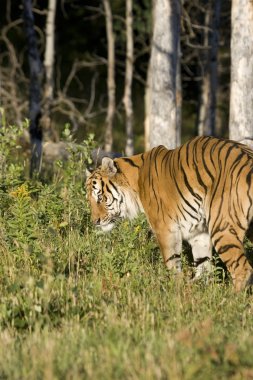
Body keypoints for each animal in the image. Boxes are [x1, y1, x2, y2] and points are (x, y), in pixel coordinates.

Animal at [85, 137, 253, 290]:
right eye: (89, 200)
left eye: (100, 197)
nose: (95, 221)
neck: (135, 184)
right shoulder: (199, 232)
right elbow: (203, 265)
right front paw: (197, 291)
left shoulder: (165, 229)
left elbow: (172, 263)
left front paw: (175, 289)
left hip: (222, 227)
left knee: (243, 269)